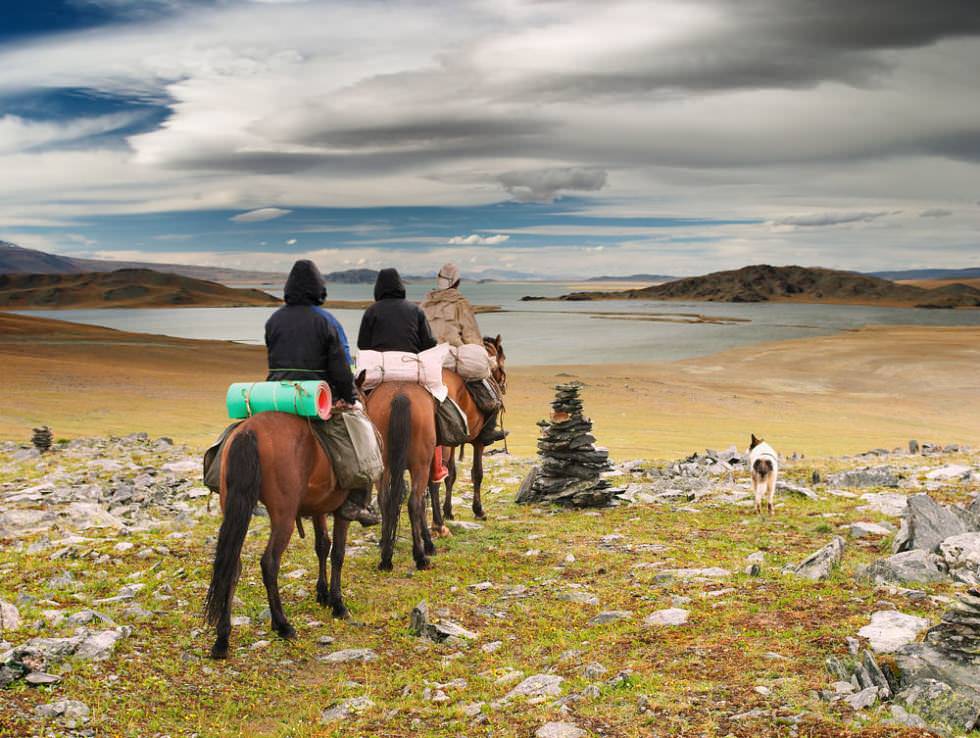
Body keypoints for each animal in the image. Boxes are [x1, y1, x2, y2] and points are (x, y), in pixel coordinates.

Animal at [203, 412, 356, 660]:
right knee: (269, 562)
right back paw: (283, 625)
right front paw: (337, 604)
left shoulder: (319, 507)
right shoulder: (342, 509)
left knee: (232, 566)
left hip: (234, 505)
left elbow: (322, 545)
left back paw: (222, 640)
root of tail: (250, 430)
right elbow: (338, 553)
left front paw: (322, 594)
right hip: (284, 515)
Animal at [362, 380, 438, 568]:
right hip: (421, 466)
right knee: (414, 503)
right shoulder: (426, 466)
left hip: (383, 463)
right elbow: (423, 503)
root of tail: (401, 395)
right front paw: (428, 544)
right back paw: (420, 557)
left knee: (385, 499)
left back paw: (386, 557)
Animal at [428, 334, 506, 528]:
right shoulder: (478, 442)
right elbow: (477, 473)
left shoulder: (454, 443)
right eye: (503, 358)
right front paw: (479, 511)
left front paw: (448, 511)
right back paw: (437, 524)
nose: (504, 383)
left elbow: (451, 475)